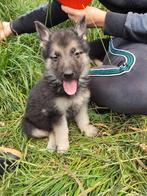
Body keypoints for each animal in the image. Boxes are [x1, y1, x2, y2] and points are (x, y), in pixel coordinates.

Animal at [21, 16, 97, 152]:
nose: (68, 74)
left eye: (76, 53)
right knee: (50, 131)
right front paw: (63, 147)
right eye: (55, 57)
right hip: (30, 127)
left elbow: (83, 119)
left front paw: (87, 130)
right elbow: (62, 130)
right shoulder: (57, 114)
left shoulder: (81, 104)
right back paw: (52, 145)